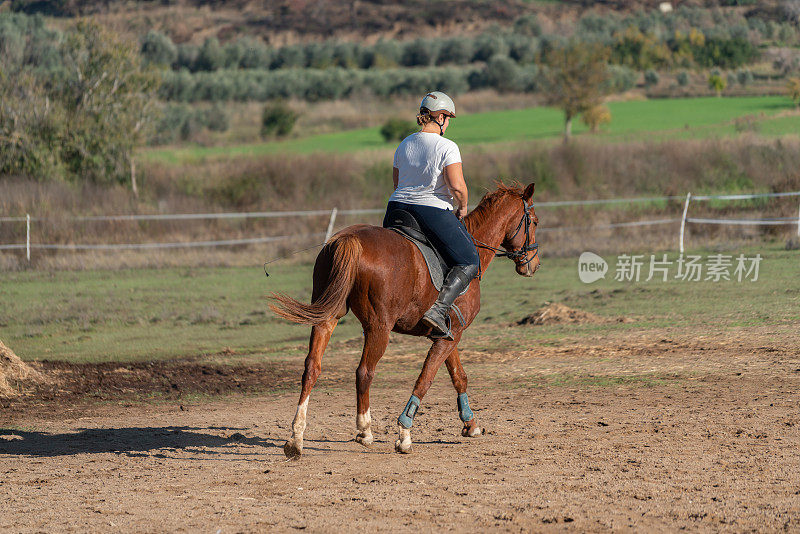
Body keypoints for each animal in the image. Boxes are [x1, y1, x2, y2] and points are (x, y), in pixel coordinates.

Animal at [272, 183, 540, 456]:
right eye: (534, 221)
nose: (534, 264)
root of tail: (349, 239)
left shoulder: (448, 334)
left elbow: (458, 376)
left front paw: (470, 424)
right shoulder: (452, 335)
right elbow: (426, 379)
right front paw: (404, 433)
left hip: (328, 317)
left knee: (312, 368)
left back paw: (296, 437)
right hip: (379, 328)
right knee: (364, 373)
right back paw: (365, 431)